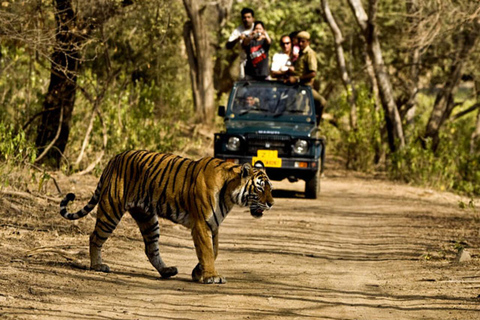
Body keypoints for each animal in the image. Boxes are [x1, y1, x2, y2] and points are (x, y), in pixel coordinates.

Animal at [59, 151, 274, 284]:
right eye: (260, 187)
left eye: (270, 188)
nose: (272, 203)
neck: (229, 193)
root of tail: (114, 158)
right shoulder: (202, 224)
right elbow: (207, 251)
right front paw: (211, 276)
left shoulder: (214, 226)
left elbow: (214, 251)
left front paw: (198, 273)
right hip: (111, 210)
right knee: (95, 237)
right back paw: (97, 265)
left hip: (148, 218)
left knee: (150, 249)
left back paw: (167, 271)